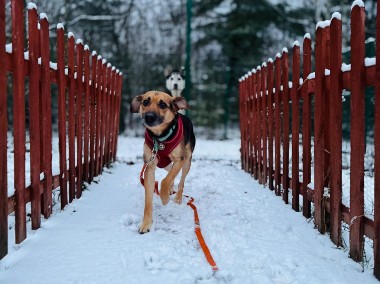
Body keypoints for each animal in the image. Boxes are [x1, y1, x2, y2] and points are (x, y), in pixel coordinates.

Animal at [131, 91, 196, 233]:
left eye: (163, 104)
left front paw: (164, 197)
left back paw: (177, 197)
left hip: (187, 161)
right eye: (145, 102)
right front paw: (146, 223)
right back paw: (171, 189)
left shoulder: (179, 160)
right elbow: (148, 199)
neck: (160, 138)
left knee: (181, 180)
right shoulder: (150, 165)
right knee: (170, 170)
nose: (149, 117)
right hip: (164, 164)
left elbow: (165, 180)